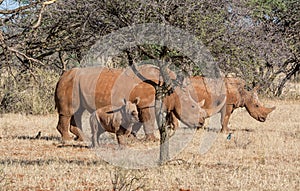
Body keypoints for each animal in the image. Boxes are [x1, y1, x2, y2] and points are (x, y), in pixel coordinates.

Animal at [55, 65, 211, 141]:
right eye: (192, 107)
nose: (201, 123)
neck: (172, 90)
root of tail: (62, 75)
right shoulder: (147, 103)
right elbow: (148, 120)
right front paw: (152, 140)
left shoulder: (141, 104)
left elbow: (139, 121)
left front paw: (132, 137)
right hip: (70, 83)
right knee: (68, 112)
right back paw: (67, 140)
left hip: (75, 83)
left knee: (78, 111)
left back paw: (82, 139)